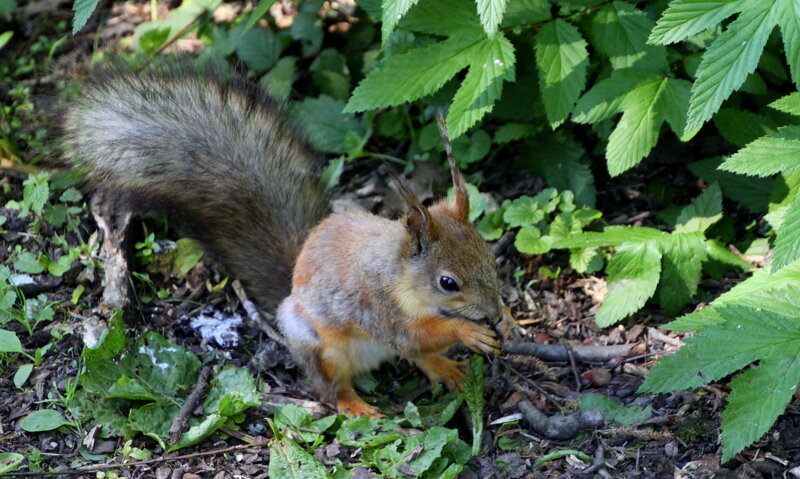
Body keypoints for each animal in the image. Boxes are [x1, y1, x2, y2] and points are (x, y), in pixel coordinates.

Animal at [61, 60, 500, 418]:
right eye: (448, 282)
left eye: (489, 256)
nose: (494, 312)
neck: (402, 277)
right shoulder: (380, 307)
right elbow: (415, 335)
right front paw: (468, 332)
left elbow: (421, 342)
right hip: (318, 346)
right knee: (330, 387)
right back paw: (355, 405)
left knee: (418, 357)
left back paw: (445, 368)